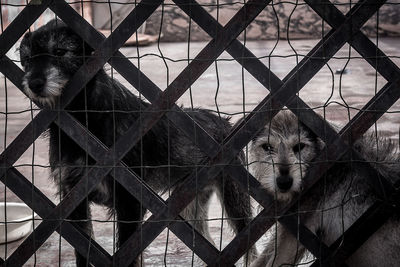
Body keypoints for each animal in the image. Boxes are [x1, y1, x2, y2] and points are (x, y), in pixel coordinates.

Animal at [18, 19, 255, 266]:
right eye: (27, 59)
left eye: (59, 52)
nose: (34, 83)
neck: (85, 116)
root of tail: (225, 123)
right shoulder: (73, 199)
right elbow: (82, 251)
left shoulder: (129, 201)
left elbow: (128, 253)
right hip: (190, 207)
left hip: (235, 198)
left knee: (250, 246)